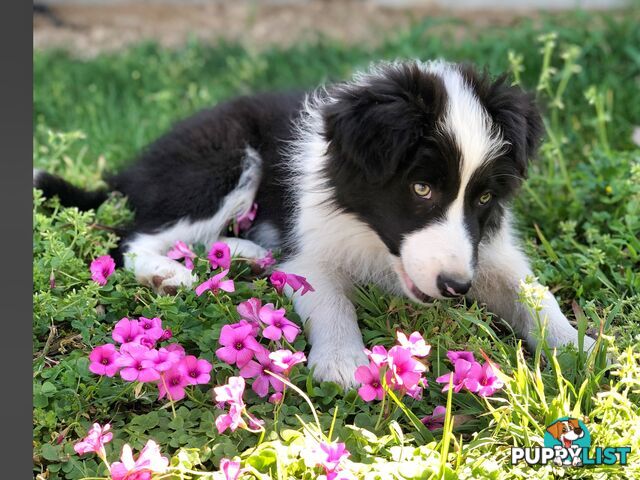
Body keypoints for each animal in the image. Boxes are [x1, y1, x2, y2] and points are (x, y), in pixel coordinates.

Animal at [35, 61, 596, 390]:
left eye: (482, 197)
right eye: (421, 188)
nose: (457, 287)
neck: (372, 234)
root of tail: (131, 169)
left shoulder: (487, 248)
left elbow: (533, 293)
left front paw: (580, 349)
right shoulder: (310, 244)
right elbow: (330, 299)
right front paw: (345, 362)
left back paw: (244, 255)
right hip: (221, 159)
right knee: (134, 235)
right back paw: (167, 273)